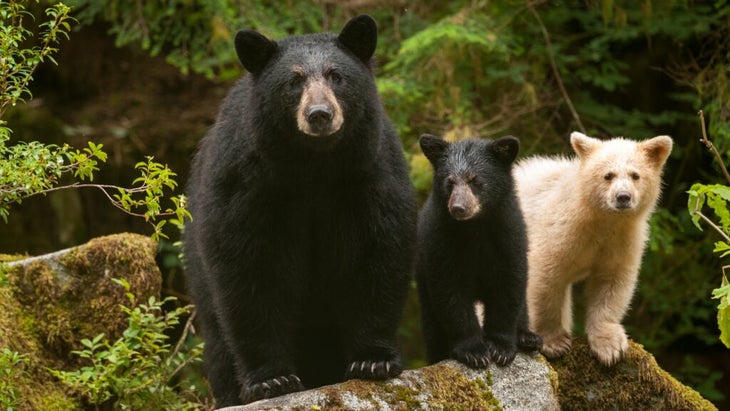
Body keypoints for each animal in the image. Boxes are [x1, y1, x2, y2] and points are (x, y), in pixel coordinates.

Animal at [183, 15, 416, 406]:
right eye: (293, 81)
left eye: (336, 75)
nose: (320, 115)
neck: (313, 167)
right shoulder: (248, 185)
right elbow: (248, 269)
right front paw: (271, 380)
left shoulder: (369, 174)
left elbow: (377, 253)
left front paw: (373, 361)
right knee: (217, 344)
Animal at [416, 135, 540, 370]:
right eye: (450, 181)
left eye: (475, 180)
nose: (458, 208)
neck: (474, 227)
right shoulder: (440, 240)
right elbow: (450, 292)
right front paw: (474, 351)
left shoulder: (509, 235)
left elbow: (508, 286)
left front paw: (500, 348)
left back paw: (528, 337)